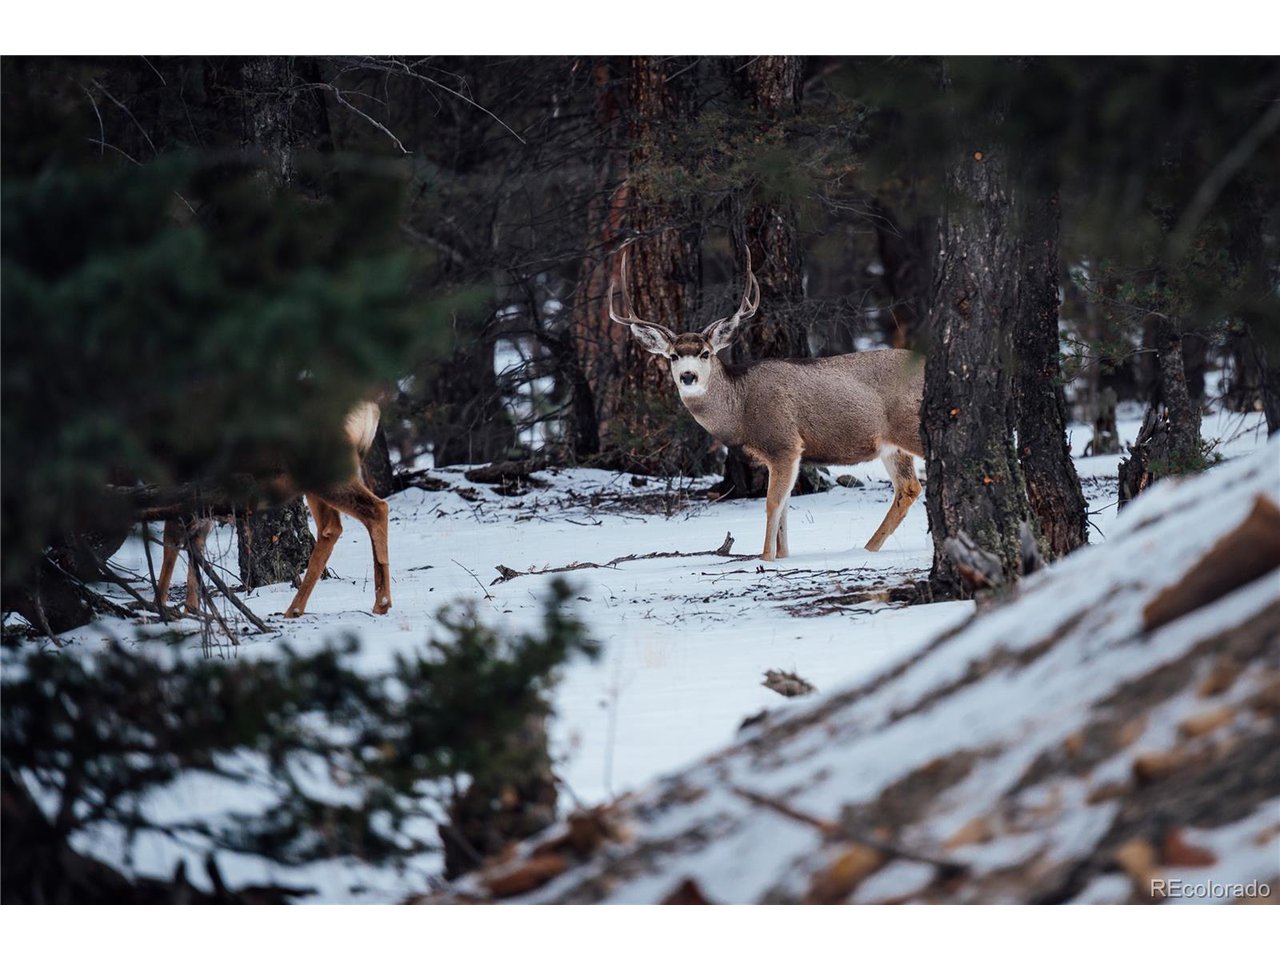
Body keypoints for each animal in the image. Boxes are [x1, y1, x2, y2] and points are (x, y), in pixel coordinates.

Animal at [153, 400, 391, 619]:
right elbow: (195, 552)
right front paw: (191, 610)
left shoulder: (178, 490)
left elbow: (170, 548)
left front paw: (161, 609)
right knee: (332, 527)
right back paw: (297, 609)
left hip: (325, 467)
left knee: (376, 508)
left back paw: (381, 602)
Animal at [610, 252, 925, 561]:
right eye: (674, 356)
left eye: (705, 353)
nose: (689, 376)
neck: (741, 408)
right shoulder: (789, 454)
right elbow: (784, 507)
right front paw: (783, 555)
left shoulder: (783, 443)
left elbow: (773, 503)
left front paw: (765, 558)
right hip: (891, 445)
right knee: (908, 488)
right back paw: (868, 549)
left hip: (910, 427)